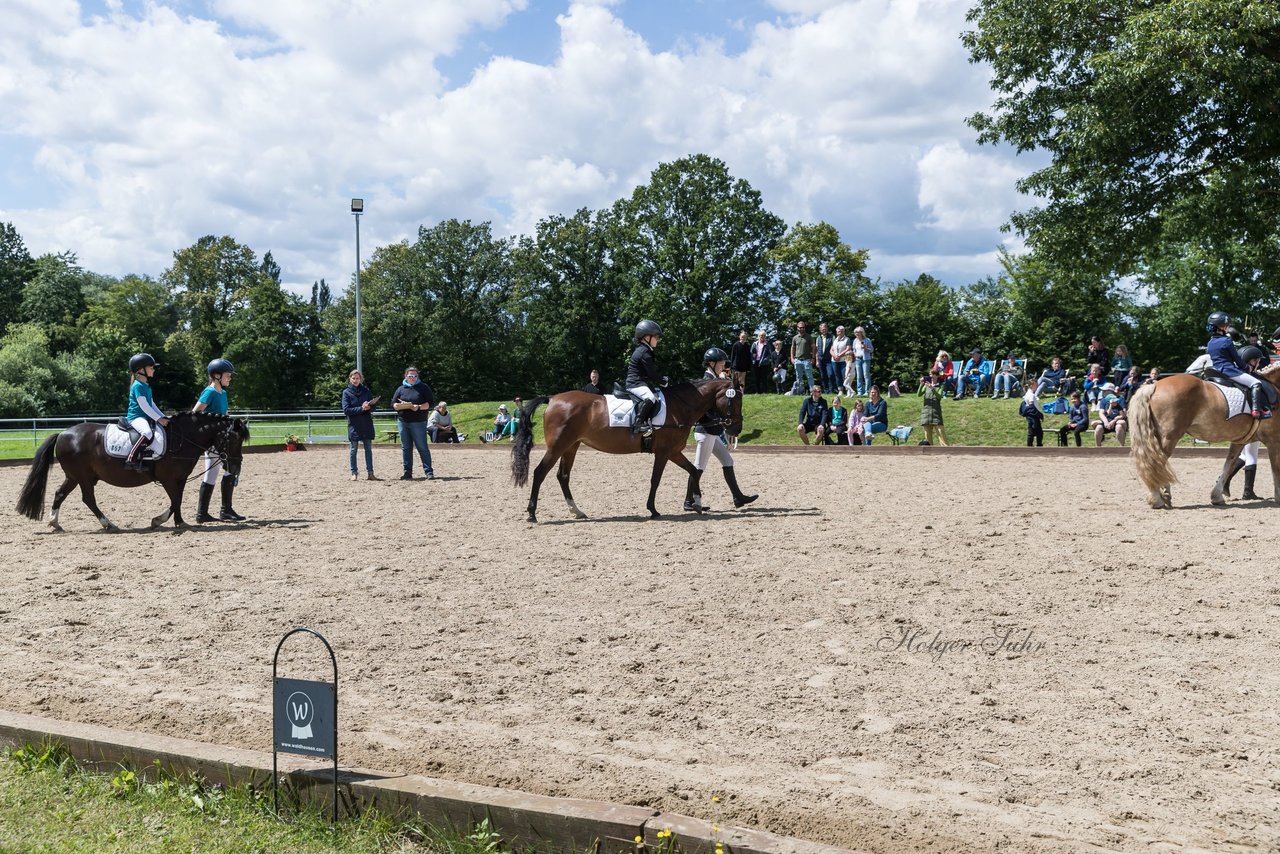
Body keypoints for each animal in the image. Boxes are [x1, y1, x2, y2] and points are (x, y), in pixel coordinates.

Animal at [15, 409, 249, 530]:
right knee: (88, 499)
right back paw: (108, 524)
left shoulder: (180, 479)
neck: (182, 437)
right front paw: (162, 521)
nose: (236, 466)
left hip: (74, 476)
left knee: (60, 494)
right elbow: (175, 501)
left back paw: (55, 523)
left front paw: (177, 521)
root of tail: (63, 433)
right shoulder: (168, 478)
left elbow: (178, 501)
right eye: (233, 439)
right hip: (83, 477)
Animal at [509, 378, 742, 522]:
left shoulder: (673, 451)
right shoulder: (663, 452)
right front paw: (653, 509)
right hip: (558, 446)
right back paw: (532, 513)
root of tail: (553, 398)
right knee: (540, 472)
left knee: (563, 476)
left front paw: (698, 503)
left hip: (570, 447)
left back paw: (577, 511)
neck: (680, 406)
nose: (736, 428)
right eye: (736, 400)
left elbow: (693, 471)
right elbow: (655, 479)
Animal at [1131, 361, 1280, 507]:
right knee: (1156, 462)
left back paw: (1164, 495)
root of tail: (1154, 385)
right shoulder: (1274, 440)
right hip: (1169, 437)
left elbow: (1229, 465)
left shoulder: (1240, 440)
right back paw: (1157, 499)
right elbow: (1275, 469)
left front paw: (1217, 496)